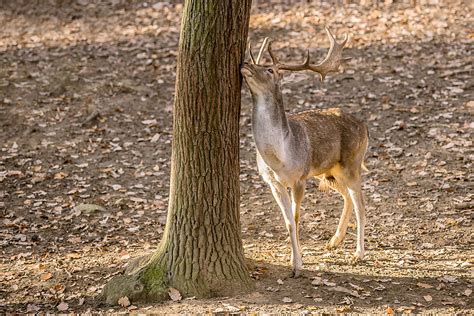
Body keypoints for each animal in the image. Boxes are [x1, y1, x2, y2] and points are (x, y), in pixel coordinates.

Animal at [243, 28, 368, 278]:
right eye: (256, 62)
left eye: (270, 69)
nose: (244, 64)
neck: (279, 157)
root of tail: (365, 127)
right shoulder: (273, 182)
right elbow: (288, 221)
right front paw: (294, 260)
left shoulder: (299, 178)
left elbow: (296, 217)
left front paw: (297, 266)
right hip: (329, 172)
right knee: (347, 196)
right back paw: (334, 241)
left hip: (352, 163)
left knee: (360, 203)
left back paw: (358, 254)